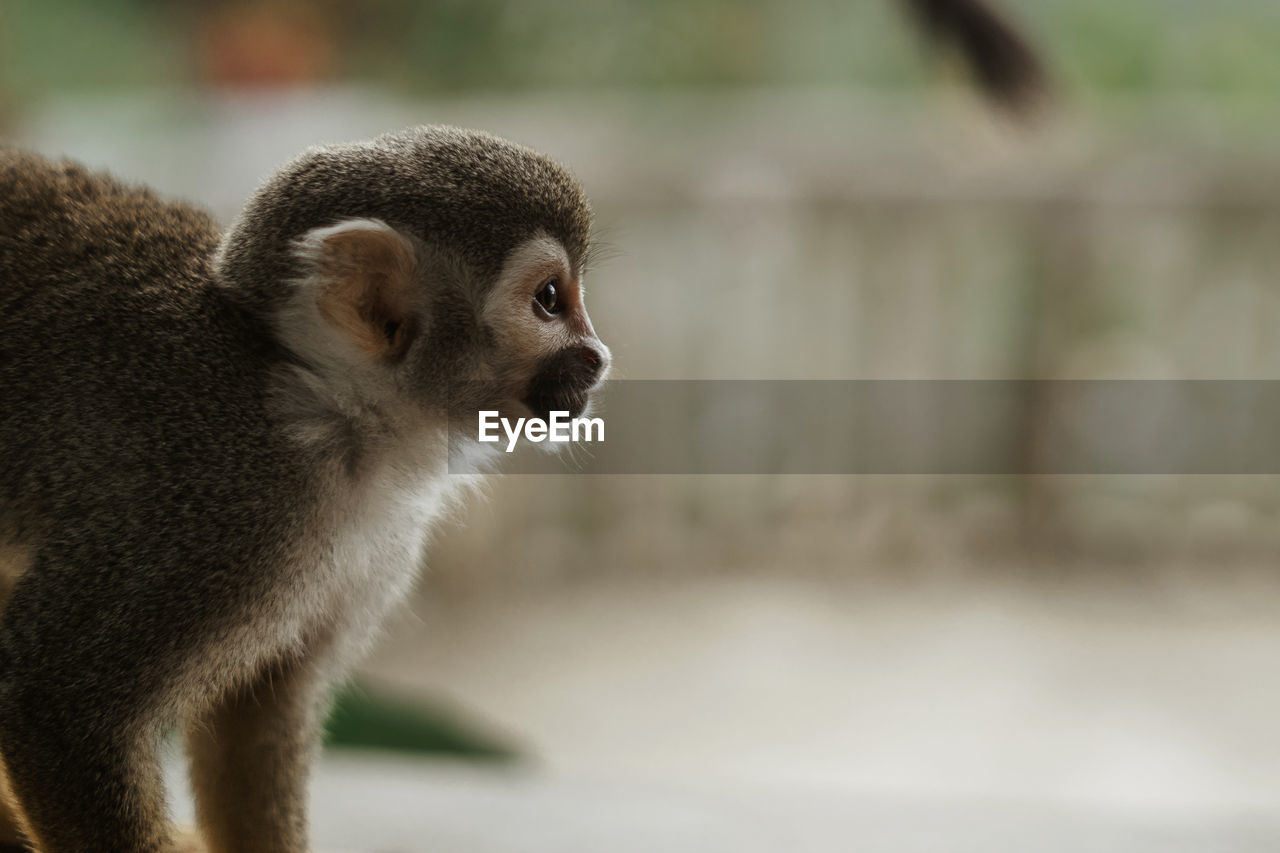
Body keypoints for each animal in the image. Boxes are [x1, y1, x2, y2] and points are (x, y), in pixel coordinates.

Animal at [0, 126, 609, 850]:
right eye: (549, 299)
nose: (597, 357)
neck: (327, 413)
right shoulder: (212, 511)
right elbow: (53, 703)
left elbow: (259, 713)